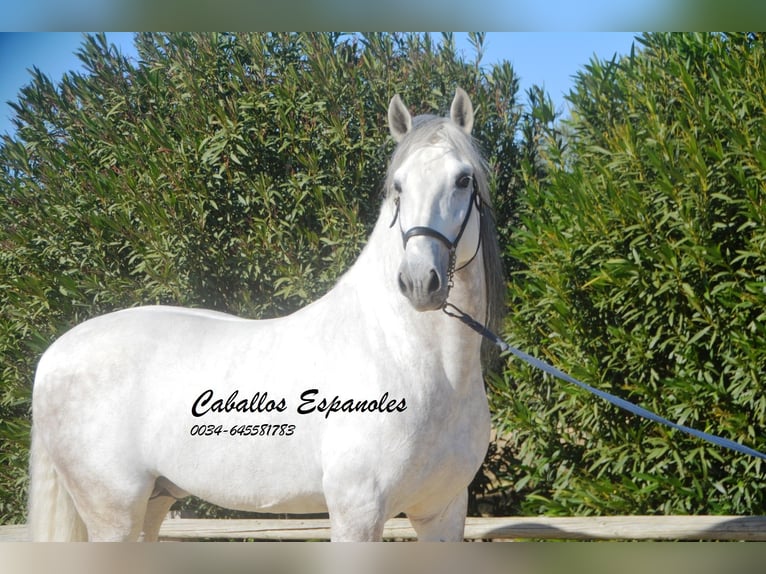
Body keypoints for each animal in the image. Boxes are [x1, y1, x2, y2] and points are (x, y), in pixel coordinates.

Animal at [27, 88, 508, 544]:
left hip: (153, 501)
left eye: (463, 180)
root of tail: (53, 356)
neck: (408, 357)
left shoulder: (441, 513)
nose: (419, 282)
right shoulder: (357, 512)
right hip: (113, 511)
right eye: (399, 188)